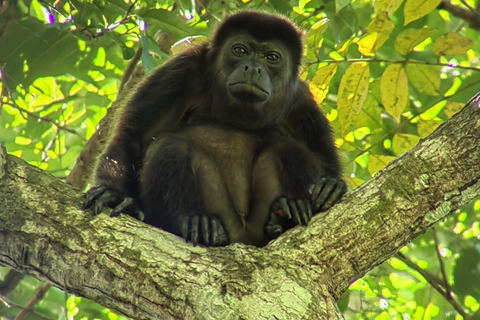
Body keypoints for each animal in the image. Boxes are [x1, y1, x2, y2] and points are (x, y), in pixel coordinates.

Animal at [85, 9, 344, 245]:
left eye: (272, 57)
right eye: (240, 50)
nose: (253, 68)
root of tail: (243, 238)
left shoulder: (300, 101)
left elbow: (323, 158)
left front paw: (330, 186)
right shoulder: (180, 71)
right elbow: (134, 138)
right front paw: (114, 195)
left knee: (288, 147)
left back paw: (286, 212)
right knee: (172, 146)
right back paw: (194, 222)